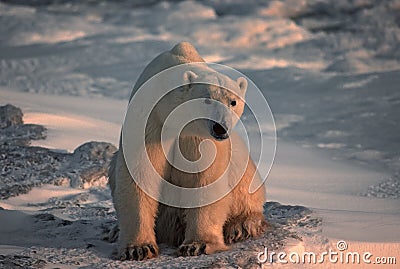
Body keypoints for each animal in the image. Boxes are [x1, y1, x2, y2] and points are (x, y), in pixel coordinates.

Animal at [108, 42, 268, 260]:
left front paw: (198, 245)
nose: (220, 128)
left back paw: (241, 226)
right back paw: (115, 230)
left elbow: (206, 179)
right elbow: (140, 173)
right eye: (206, 100)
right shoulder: (149, 121)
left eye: (233, 101)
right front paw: (139, 248)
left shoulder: (199, 138)